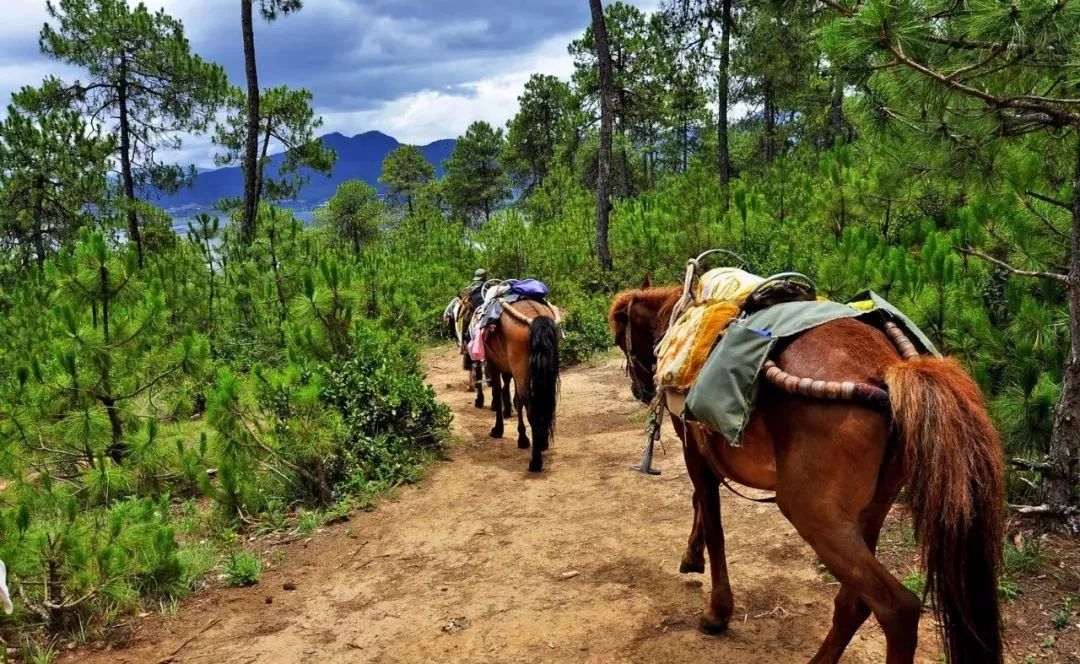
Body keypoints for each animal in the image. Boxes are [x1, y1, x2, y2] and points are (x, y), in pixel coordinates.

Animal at [483, 297, 561, 475]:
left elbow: (498, 395)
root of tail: (537, 319)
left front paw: (498, 429)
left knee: (531, 411)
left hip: (520, 370)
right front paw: (523, 437)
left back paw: (536, 461)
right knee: (545, 403)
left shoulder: (493, 364)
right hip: (545, 372)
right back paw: (542, 442)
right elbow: (516, 401)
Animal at [613, 280, 1006, 664]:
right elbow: (700, 507)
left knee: (898, 609)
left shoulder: (694, 454)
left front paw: (716, 611)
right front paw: (692, 558)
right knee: (854, 603)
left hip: (815, 516)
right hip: (868, 512)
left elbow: (712, 525)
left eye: (620, 340)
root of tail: (889, 367)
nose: (639, 389)